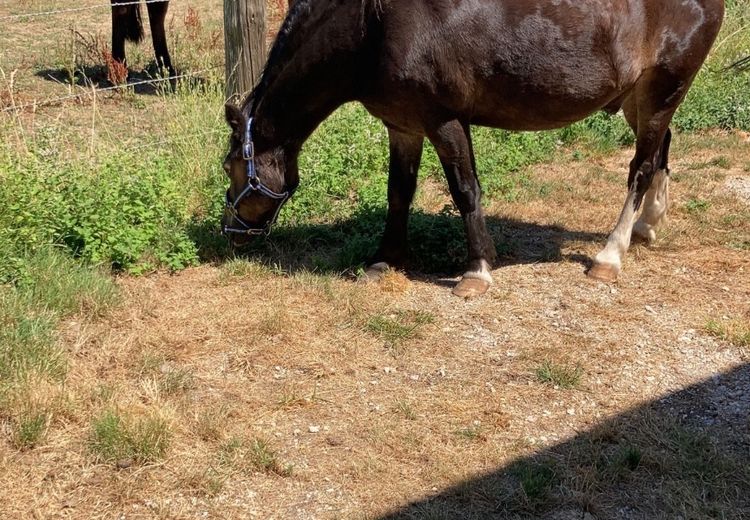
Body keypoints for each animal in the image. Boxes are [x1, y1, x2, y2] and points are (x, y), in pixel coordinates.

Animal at [220, 0, 724, 298]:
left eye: (230, 167)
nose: (232, 233)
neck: (372, 23)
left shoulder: (444, 120)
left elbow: (465, 190)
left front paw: (477, 270)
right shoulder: (403, 125)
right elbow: (398, 192)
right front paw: (386, 258)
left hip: (662, 91)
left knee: (641, 166)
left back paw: (609, 256)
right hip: (642, 99)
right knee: (661, 152)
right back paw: (647, 226)